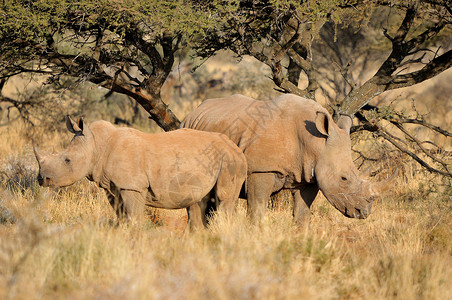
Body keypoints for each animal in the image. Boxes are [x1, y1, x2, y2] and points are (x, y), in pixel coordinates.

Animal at [34, 116, 247, 229]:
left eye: (67, 160)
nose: (42, 179)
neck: (96, 145)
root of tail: (235, 146)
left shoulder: (132, 186)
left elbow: (133, 217)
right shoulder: (112, 187)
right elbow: (121, 216)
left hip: (230, 160)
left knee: (223, 199)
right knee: (198, 203)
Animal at [182, 94, 386, 223]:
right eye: (344, 178)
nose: (363, 212)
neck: (316, 144)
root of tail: (193, 112)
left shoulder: (309, 176)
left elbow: (302, 214)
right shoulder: (261, 169)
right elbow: (257, 210)